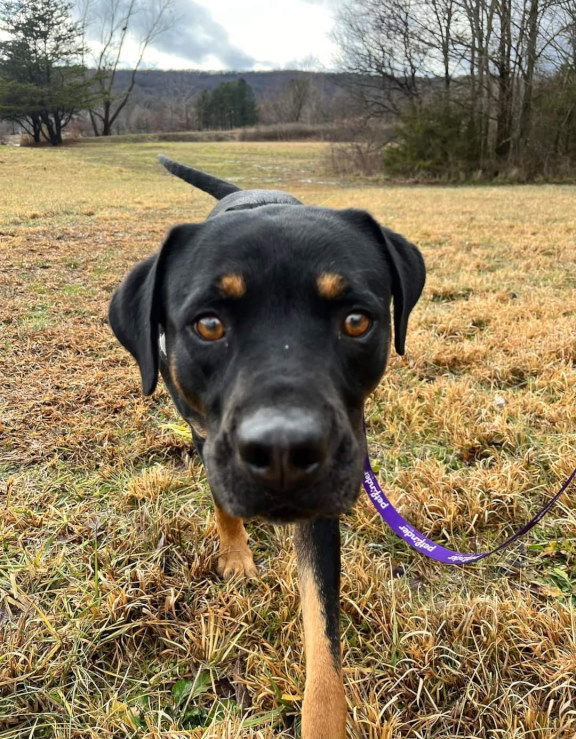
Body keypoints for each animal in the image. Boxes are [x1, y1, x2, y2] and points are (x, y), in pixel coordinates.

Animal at [108, 158, 426, 739]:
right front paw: (236, 556)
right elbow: (221, 500)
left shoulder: (324, 494)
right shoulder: (208, 438)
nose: (282, 453)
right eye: (209, 324)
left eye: (356, 320)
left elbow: (323, 643)